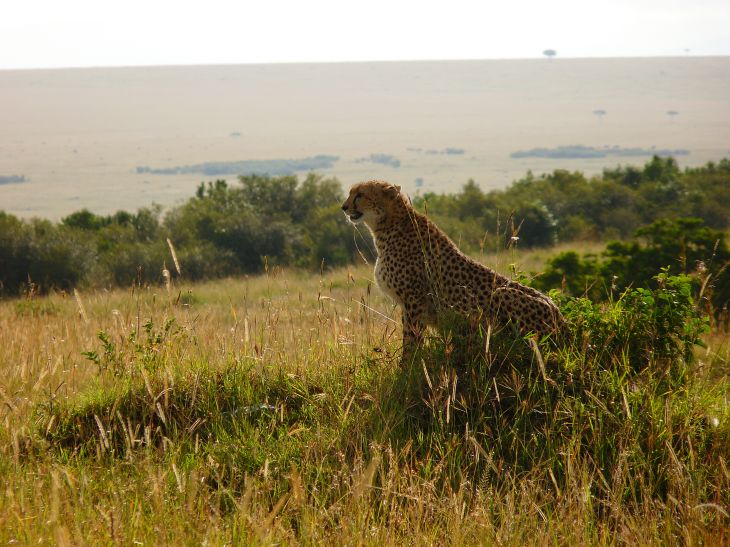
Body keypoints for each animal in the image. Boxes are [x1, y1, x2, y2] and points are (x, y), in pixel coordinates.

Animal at [341, 180, 565, 360]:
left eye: (360, 194)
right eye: (351, 193)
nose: (343, 207)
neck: (388, 225)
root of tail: (562, 322)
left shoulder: (414, 300)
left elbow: (411, 340)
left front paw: (407, 368)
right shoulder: (408, 304)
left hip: (502, 295)